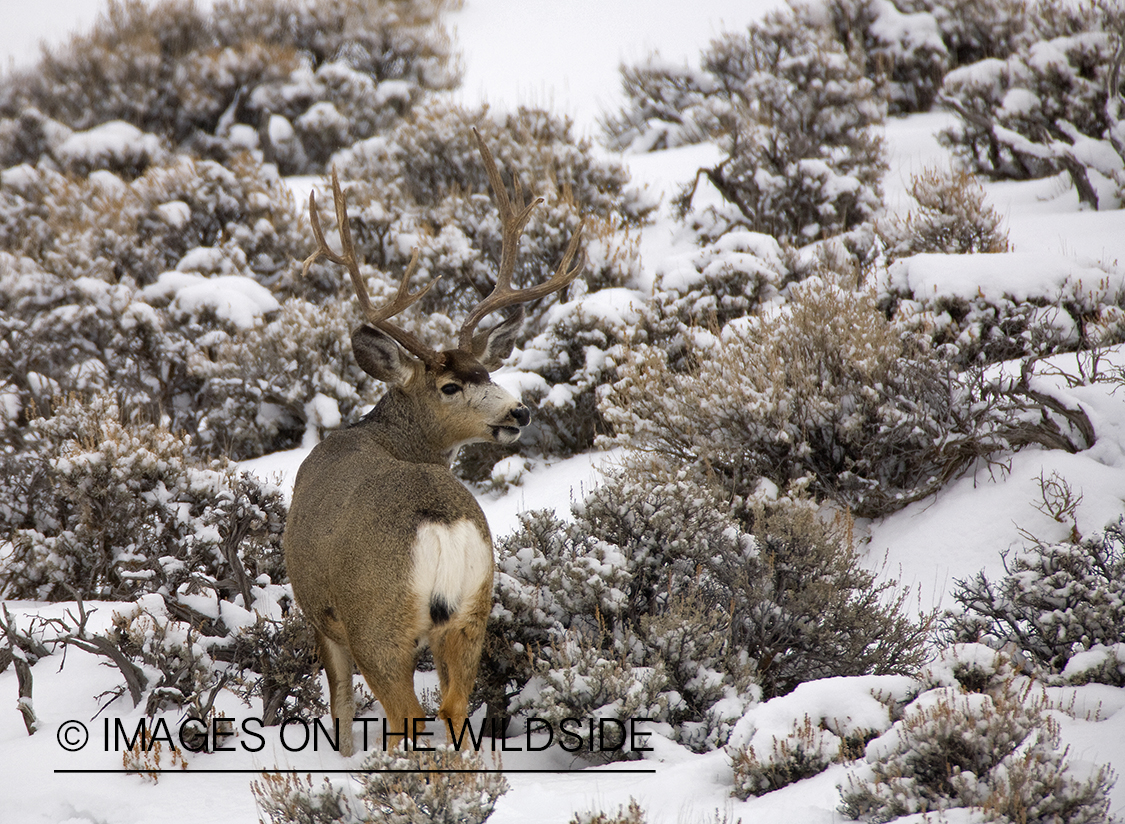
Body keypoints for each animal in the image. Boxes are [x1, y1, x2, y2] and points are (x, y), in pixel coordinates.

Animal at [283, 129, 583, 757]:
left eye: (485, 374)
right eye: (453, 384)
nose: (519, 410)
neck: (385, 435)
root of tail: (440, 524)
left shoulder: (322, 614)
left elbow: (340, 712)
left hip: (379, 624)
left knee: (408, 718)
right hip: (473, 611)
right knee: (454, 710)